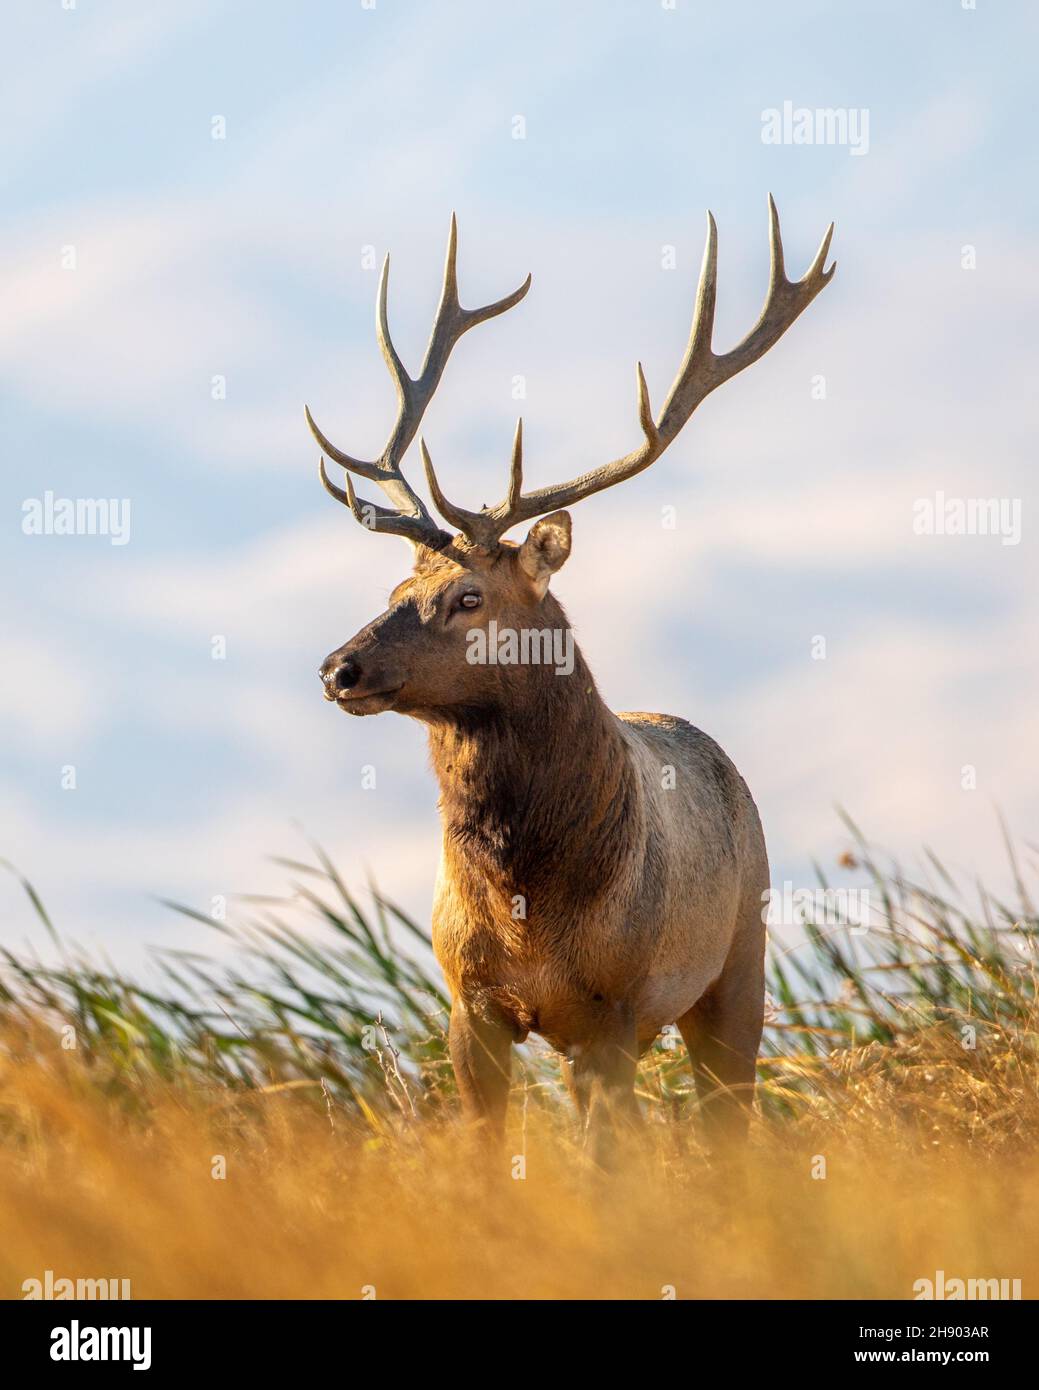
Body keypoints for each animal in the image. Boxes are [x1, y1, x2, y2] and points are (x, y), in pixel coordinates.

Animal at [308, 198, 834, 1162]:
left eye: (467, 596)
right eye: (396, 590)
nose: (338, 667)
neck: (527, 910)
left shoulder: (612, 1007)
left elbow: (607, 1170)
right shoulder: (467, 1004)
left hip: (738, 962)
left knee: (730, 1124)